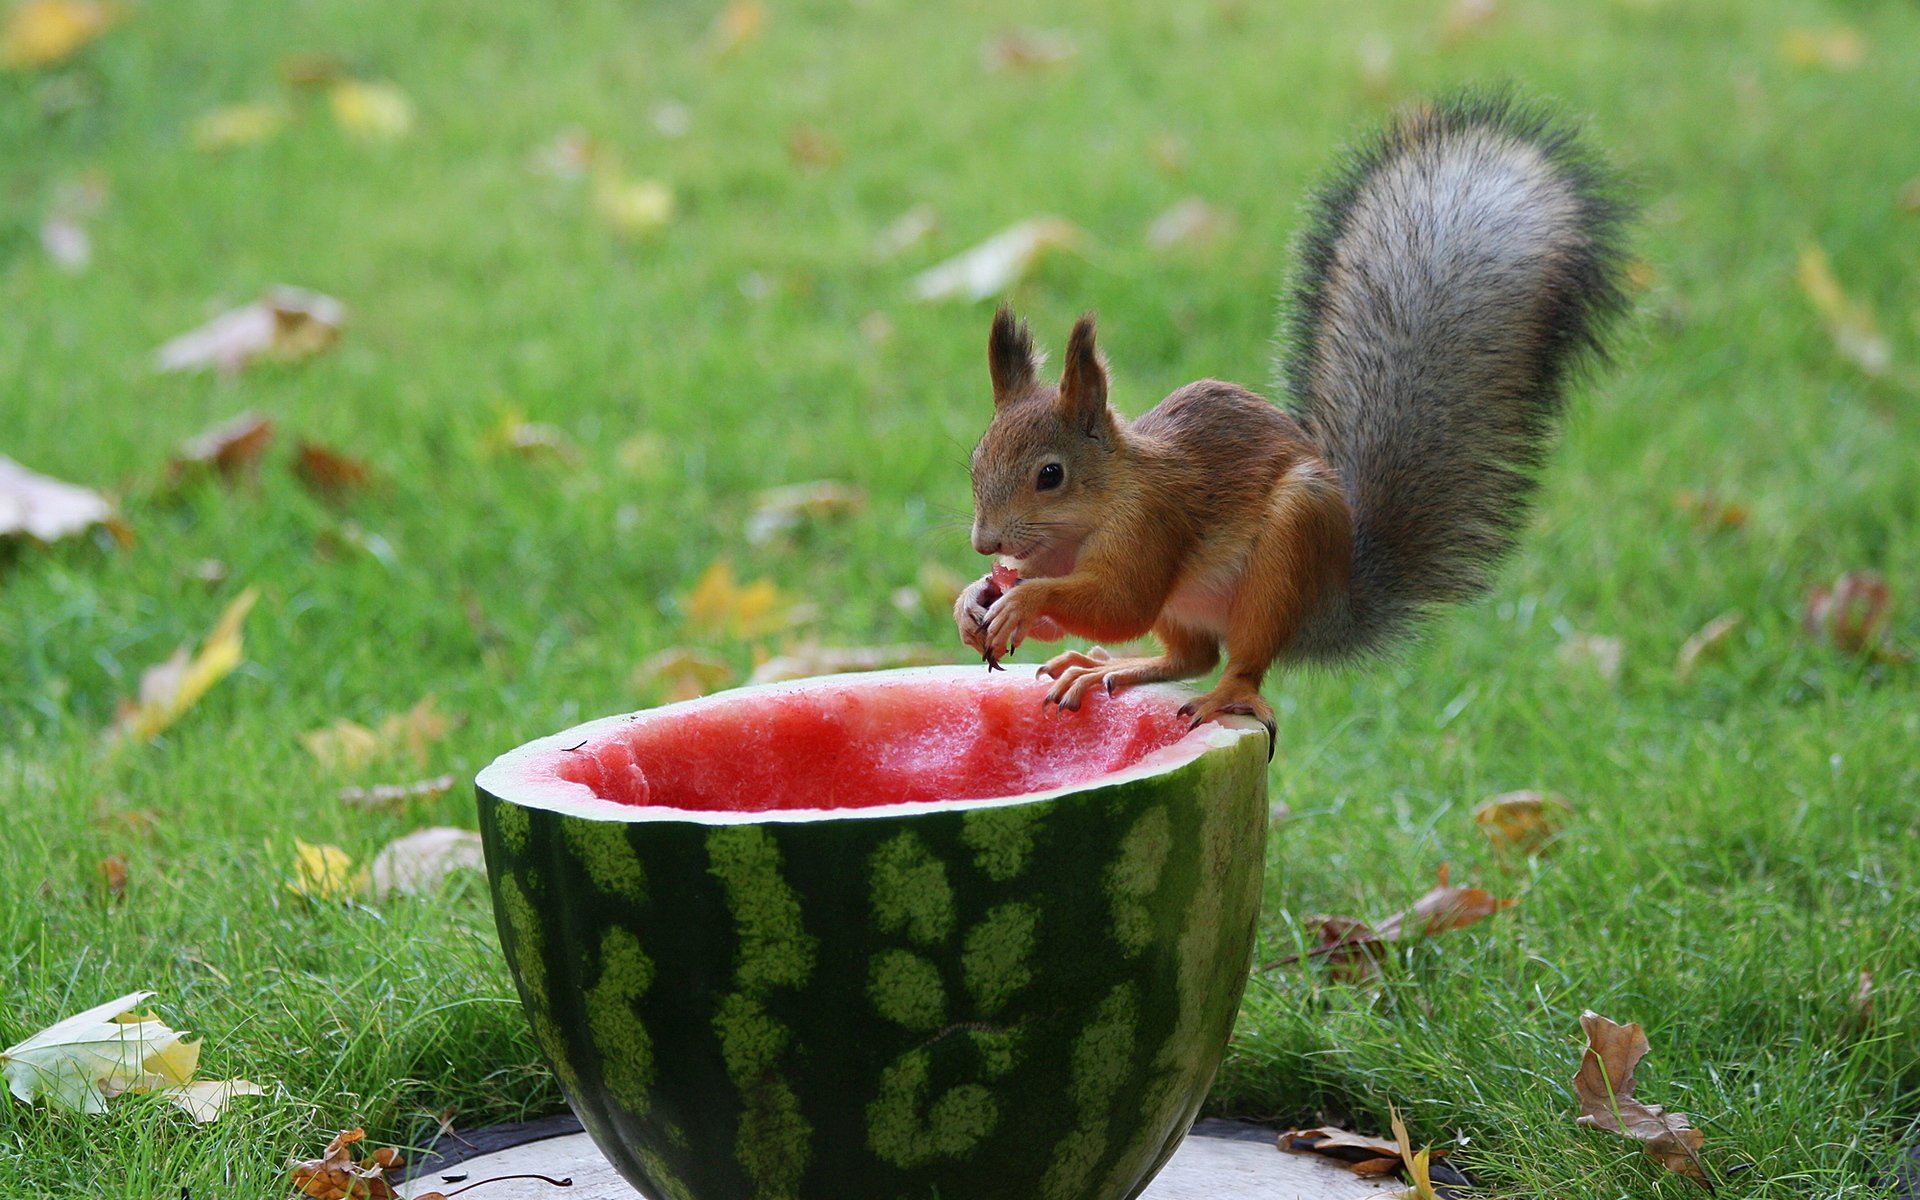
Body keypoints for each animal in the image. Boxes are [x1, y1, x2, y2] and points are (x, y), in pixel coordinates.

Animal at [954, 93, 1630, 752]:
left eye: (1051, 474)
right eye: (976, 461)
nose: (985, 543)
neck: (1089, 516)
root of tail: (1330, 603)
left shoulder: (1153, 525)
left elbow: (1122, 605)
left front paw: (1024, 599)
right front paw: (975, 598)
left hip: (1283, 560)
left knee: (1238, 661)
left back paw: (1223, 696)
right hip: (1195, 605)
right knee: (1190, 656)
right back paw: (1106, 669)